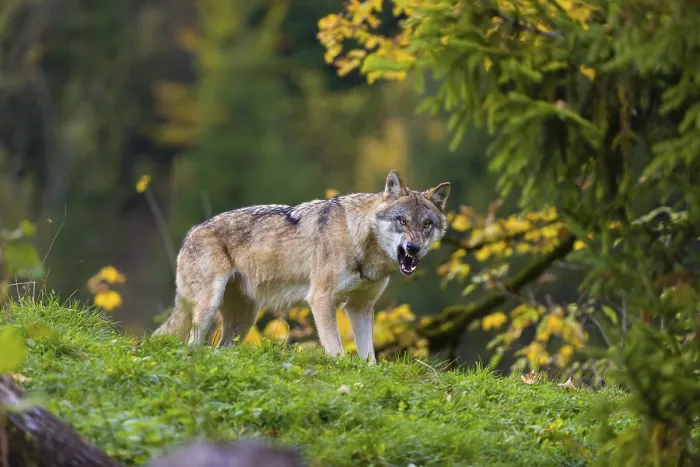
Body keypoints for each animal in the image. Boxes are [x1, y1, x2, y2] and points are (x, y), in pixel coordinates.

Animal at [153, 169, 450, 362]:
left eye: (426, 224)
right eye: (402, 221)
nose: (413, 248)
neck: (360, 239)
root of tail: (190, 233)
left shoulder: (360, 307)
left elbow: (369, 359)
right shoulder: (320, 299)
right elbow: (337, 352)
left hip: (243, 321)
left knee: (217, 349)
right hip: (208, 308)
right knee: (191, 345)